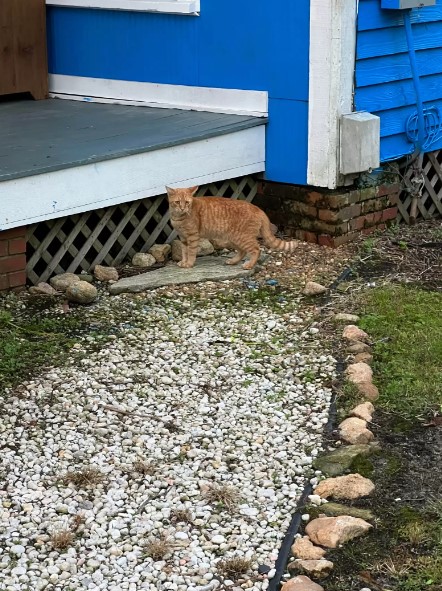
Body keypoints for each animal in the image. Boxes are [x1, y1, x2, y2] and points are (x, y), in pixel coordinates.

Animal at [166, 186, 296, 272]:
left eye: (187, 202)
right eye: (177, 202)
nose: (182, 208)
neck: (178, 217)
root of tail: (258, 208)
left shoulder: (192, 237)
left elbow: (191, 252)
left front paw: (189, 263)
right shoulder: (183, 238)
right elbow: (184, 252)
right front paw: (184, 262)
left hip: (242, 238)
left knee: (256, 250)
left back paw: (249, 265)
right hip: (233, 239)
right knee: (243, 252)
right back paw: (233, 261)